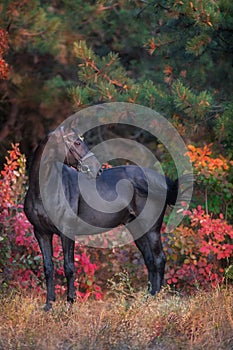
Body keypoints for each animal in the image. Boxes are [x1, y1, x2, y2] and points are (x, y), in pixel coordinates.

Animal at [23, 125, 187, 308]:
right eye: (77, 142)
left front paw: (70, 303)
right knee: (150, 260)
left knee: (159, 259)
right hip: (137, 228)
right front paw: (48, 305)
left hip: (151, 229)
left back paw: (156, 299)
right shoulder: (41, 233)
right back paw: (148, 298)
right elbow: (48, 267)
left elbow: (69, 267)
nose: (97, 169)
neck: (46, 190)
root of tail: (161, 181)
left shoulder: (67, 232)